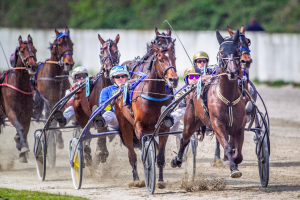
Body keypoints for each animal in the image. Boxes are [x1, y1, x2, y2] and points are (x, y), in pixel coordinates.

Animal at [0, 34, 37, 162]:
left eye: (35, 50)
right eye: (22, 50)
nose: (32, 66)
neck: (19, 85)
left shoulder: (27, 115)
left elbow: (24, 131)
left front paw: (21, 151)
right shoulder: (11, 112)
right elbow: (20, 128)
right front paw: (24, 148)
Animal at [34, 27, 74, 167]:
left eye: (72, 44)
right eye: (59, 44)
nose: (69, 64)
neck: (55, 77)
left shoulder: (61, 99)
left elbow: (56, 118)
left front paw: (59, 140)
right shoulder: (47, 101)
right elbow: (49, 120)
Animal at [73, 33, 120, 166]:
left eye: (116, 51)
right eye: (101, 51)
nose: (108, 69)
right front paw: (100, 153)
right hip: (80, 113)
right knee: (84, 131)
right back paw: (86, 153)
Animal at [113, 39, 177, 185]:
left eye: (174, 58)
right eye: (160, 59)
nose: (174, 79)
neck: (153, 95)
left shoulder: (164, 128)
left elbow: (160, 157)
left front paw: (160, 181)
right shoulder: (139, 127)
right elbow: (144, 153)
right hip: (125, 126)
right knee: (132, 154)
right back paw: (136, 179)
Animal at [171, 30, 246, 178]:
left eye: (237, 50)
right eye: (222, 51)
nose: (233, 72)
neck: (228, 98)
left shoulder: (239, 127)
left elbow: (238, 154)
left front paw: (233, 162)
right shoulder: (218, 124)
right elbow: (228, 147)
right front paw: (233, 168)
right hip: (190, 120)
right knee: (184, 139)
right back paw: (177, 160)